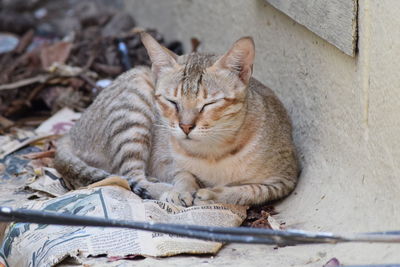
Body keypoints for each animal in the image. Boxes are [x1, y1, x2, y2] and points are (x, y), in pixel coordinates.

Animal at [53, 31, 298, 207]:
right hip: (134, 104)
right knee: (130, 177)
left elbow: (251, 190)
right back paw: (162, 189)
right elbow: (183, 174)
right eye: (172, 102)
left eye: (208, 104)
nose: (185, 126)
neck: (213, 152)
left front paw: (213, 194)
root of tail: (71, 132)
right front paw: (181, 190)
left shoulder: (285, 179)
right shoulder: (166, 163)